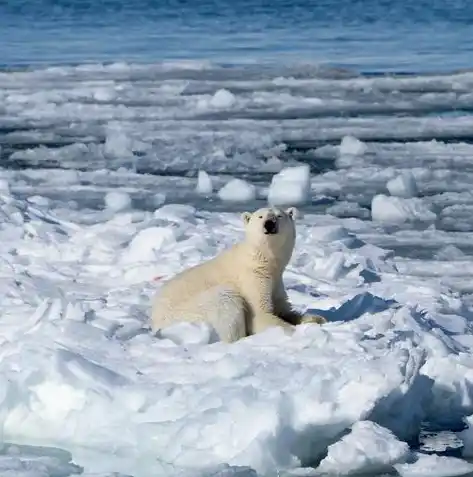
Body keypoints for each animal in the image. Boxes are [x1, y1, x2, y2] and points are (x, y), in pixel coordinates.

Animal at [150, 205, 324, 342]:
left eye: (279, 215)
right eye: (260, 216)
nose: (269, 224)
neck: (265, 263)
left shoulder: (276, 282)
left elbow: (284, 309)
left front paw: (317, 319)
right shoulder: (251, 279)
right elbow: (260, 315)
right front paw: (293, 331)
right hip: (191, 311)